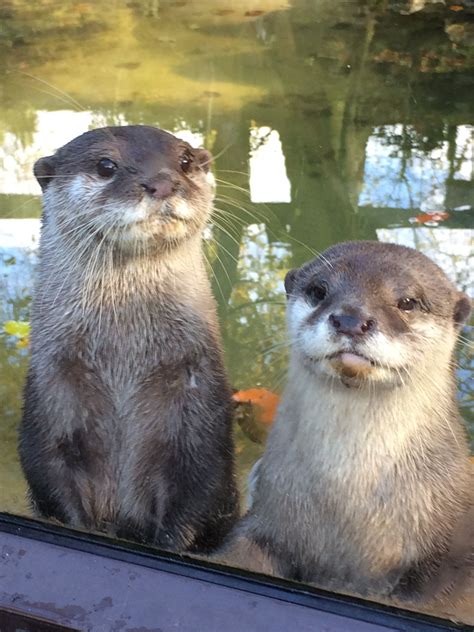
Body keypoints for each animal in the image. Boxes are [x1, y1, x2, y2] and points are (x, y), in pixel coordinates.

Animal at [17, 126, 241, 552]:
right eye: (106, 165)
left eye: (184, 160)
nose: (163, 182)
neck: (125, 362)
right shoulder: (52, 391)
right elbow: (51, 479)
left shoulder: (202, 403)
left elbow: (202, 492)